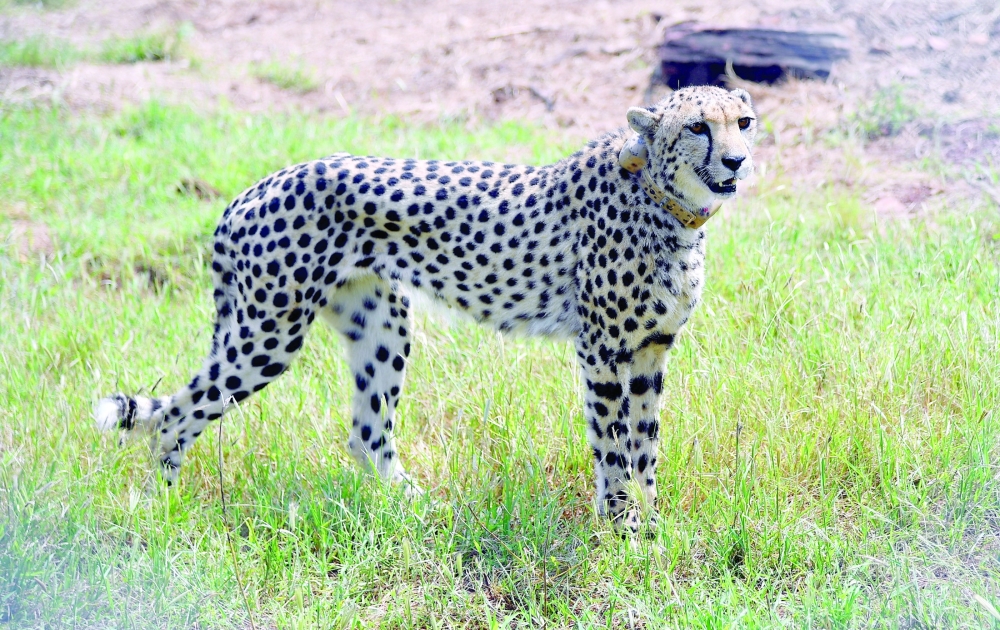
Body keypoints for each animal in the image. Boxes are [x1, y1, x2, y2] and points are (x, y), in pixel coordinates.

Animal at [95, 85, 757, 534]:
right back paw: (161, 510)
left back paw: (415, 509)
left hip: (381, 323)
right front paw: (623, 530)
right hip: (268, 334)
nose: (737, 160)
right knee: (176, 414)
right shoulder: (602, 351)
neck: (667, 203)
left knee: (366, 433)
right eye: (698, 127)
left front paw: (653, 526)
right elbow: (613, 447)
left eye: (744, 122)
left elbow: (646, 447)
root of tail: (252, 190)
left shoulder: (650, 351)